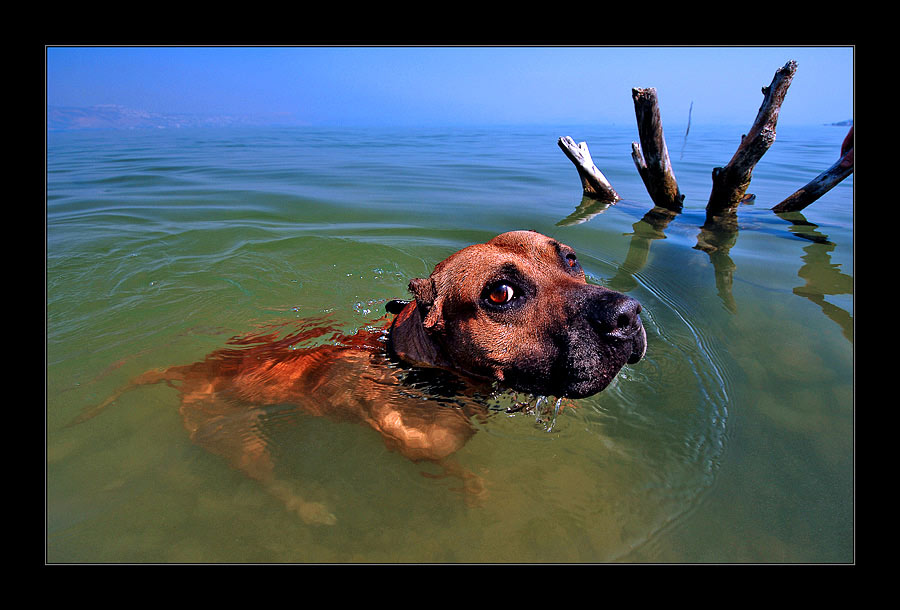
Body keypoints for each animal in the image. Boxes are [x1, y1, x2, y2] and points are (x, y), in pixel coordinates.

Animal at [82, 230, 648, 520]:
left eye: (570, 259)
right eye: (499, 294)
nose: (627, 313)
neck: (411, 363)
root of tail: (188, 367)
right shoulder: (418, 438)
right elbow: (437, 461)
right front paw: (466, 487)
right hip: (231, 433)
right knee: (268, 476)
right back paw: (310, 507)